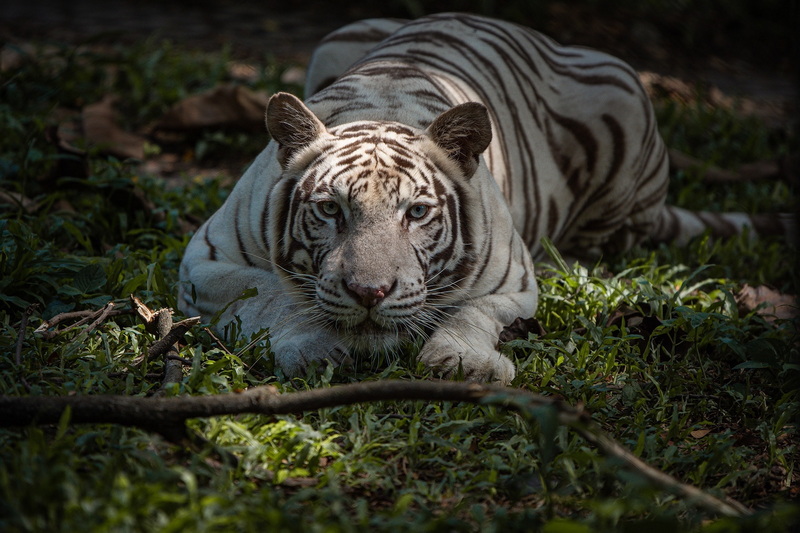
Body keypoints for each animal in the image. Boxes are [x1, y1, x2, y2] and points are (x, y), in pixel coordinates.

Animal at [180, 12, 780, 382]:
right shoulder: (205, 261)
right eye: (331, 209)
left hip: (626, 95)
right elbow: (273, 295)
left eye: (417, 212)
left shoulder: (511, 281)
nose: (370, 293)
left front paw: (465, 364)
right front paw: (313, 349)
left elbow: (471, 313)